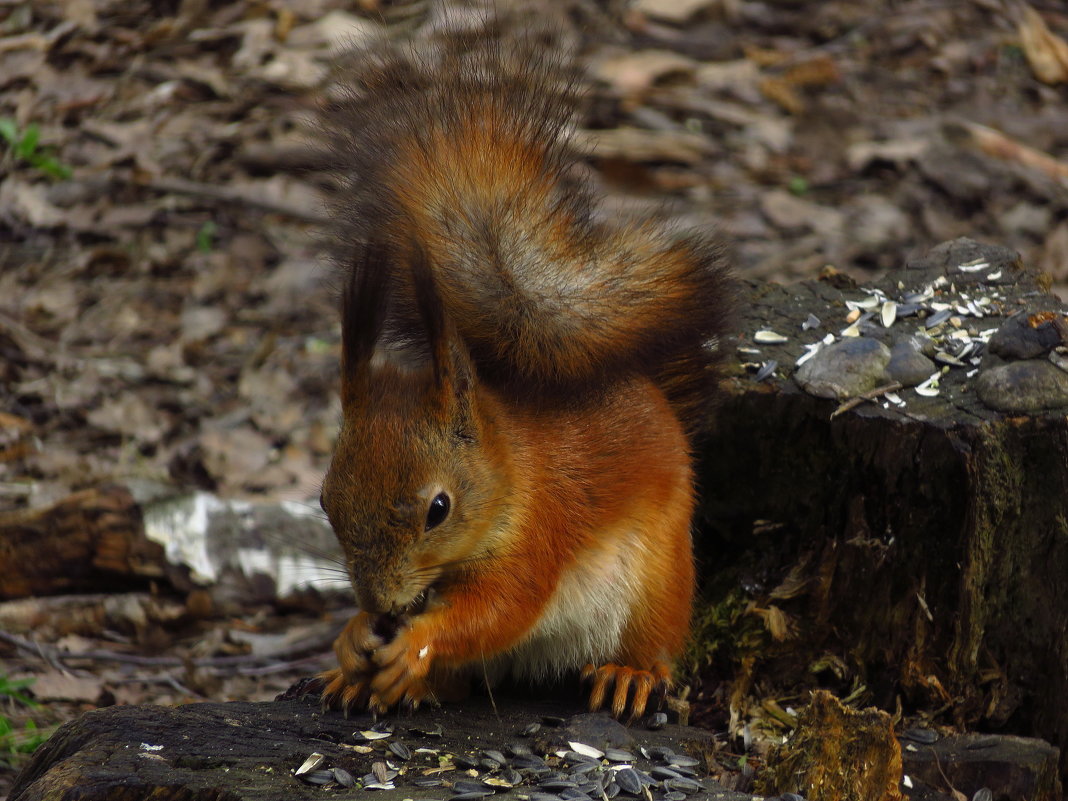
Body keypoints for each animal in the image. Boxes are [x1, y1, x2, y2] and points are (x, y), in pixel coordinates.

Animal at [313, 36, 734, 721]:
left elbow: (502, 609)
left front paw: (416, 644)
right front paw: (353, 640)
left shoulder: (542, 532)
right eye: (325, 501)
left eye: (438, 509)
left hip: (661, 579)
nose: (381, 606)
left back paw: (629, 674)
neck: (511, 473)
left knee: (654, 641)